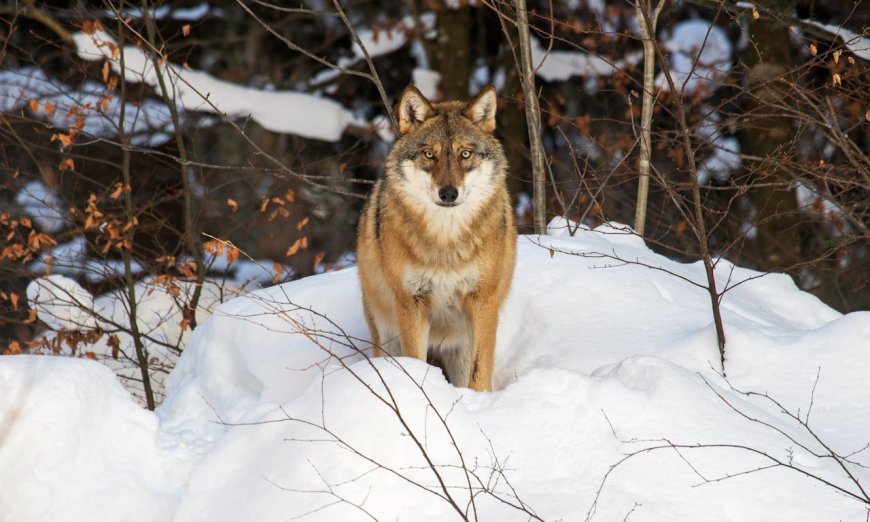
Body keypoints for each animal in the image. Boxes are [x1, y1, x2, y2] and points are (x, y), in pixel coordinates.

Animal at [360, 85, 516, 388]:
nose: (448, 193)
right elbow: (415, 361)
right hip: (385, 333)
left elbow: (479, 373)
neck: (446, 241)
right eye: (429, 154)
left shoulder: (482, 301)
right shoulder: (411, 301)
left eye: (465, 154)